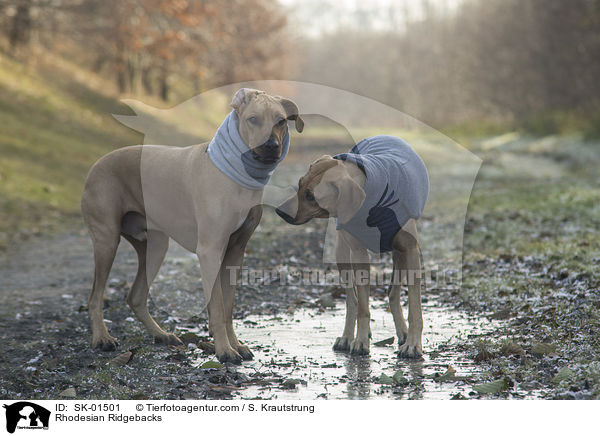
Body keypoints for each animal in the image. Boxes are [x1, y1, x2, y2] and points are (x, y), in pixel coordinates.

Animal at [79, 87, 302, 362]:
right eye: (253, 119)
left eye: (281, 121)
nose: (271, 146)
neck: (235, 174)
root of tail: (96, 164)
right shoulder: (210, 251)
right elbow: (217, 307)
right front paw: (224, 350)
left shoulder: (236, 251)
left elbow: (228, 306)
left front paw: (235, 344)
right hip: (107, 240)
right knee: (95, 297)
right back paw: (102, 338)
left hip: (154, 246)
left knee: (136, 296)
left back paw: (162, 334)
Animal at [276, 136, 426, 358]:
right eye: (299, 184)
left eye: (311, 196)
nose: (279, 211)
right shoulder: (358, 254)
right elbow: (362, 305)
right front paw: (360, 340)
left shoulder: (410, 251)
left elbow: (415, 307)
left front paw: (413, 344)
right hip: (343, 254)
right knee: (352, 300)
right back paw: (348, 336)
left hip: (399, 255)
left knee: (392, 293)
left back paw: (403, 332)